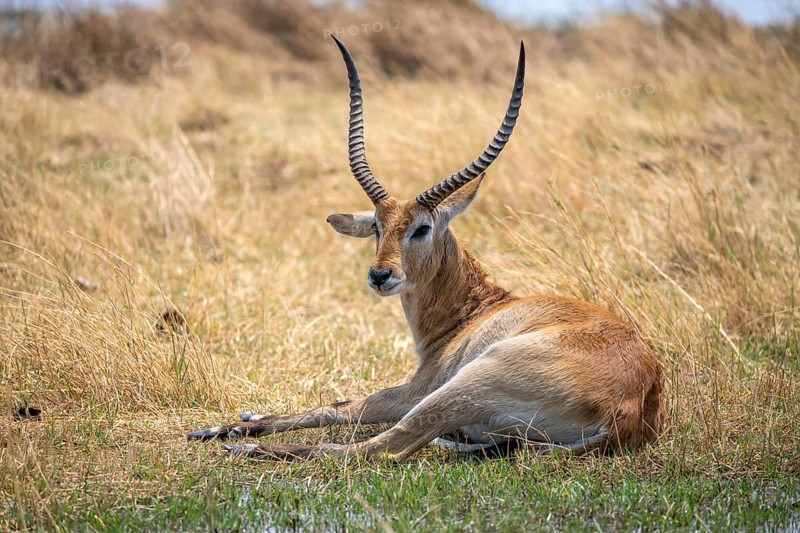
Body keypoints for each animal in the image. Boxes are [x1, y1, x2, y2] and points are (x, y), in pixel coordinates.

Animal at [187, 37, 666, 460]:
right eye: (377, 227)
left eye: (421, 227)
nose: (381, 275)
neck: (472, 313)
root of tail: (629, 408)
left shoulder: (413, 389)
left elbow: (345, 405)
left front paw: (228, 428)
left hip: (463, 386)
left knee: (380, 447)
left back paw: (248, 448)